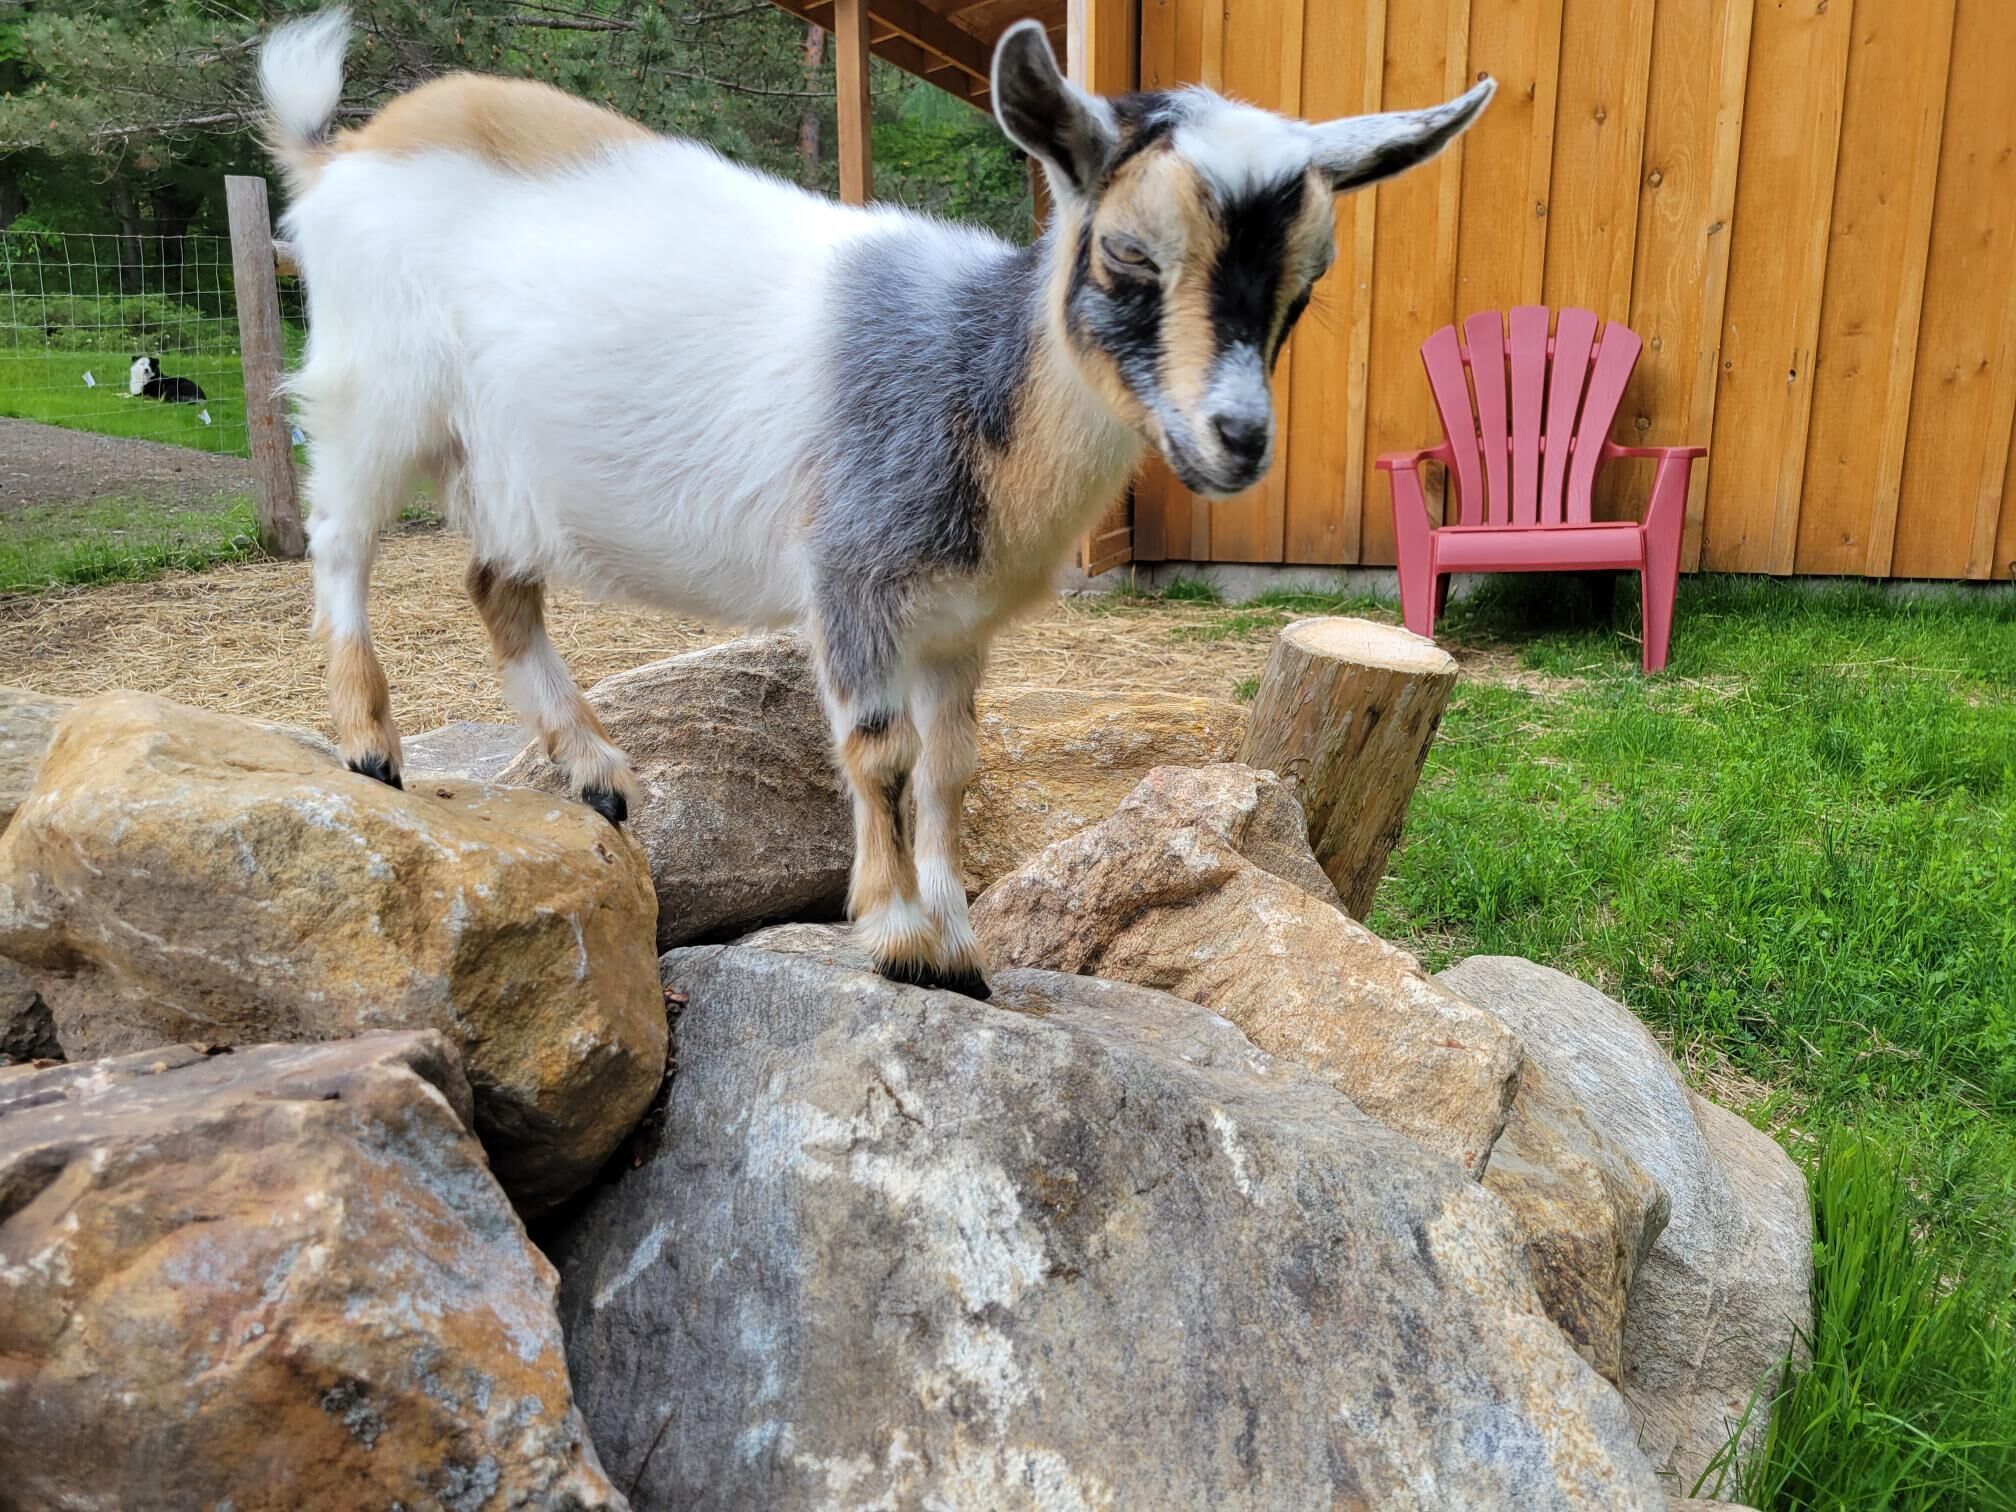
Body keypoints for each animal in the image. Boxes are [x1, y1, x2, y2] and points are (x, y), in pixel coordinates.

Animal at [257, 8, 1491, 999]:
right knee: (340, 540)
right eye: (1130, 255)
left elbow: (953, 771)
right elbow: (884, 756)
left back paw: (597, 772)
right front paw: (901, 938)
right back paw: (369, 743)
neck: (977, 375)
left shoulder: (956, 622)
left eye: (1306, 287)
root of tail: (339, 152)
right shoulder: (852, 575)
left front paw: (958, 942)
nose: (1237, 439)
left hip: (511, 465)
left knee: (493, 583)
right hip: (377, 387)